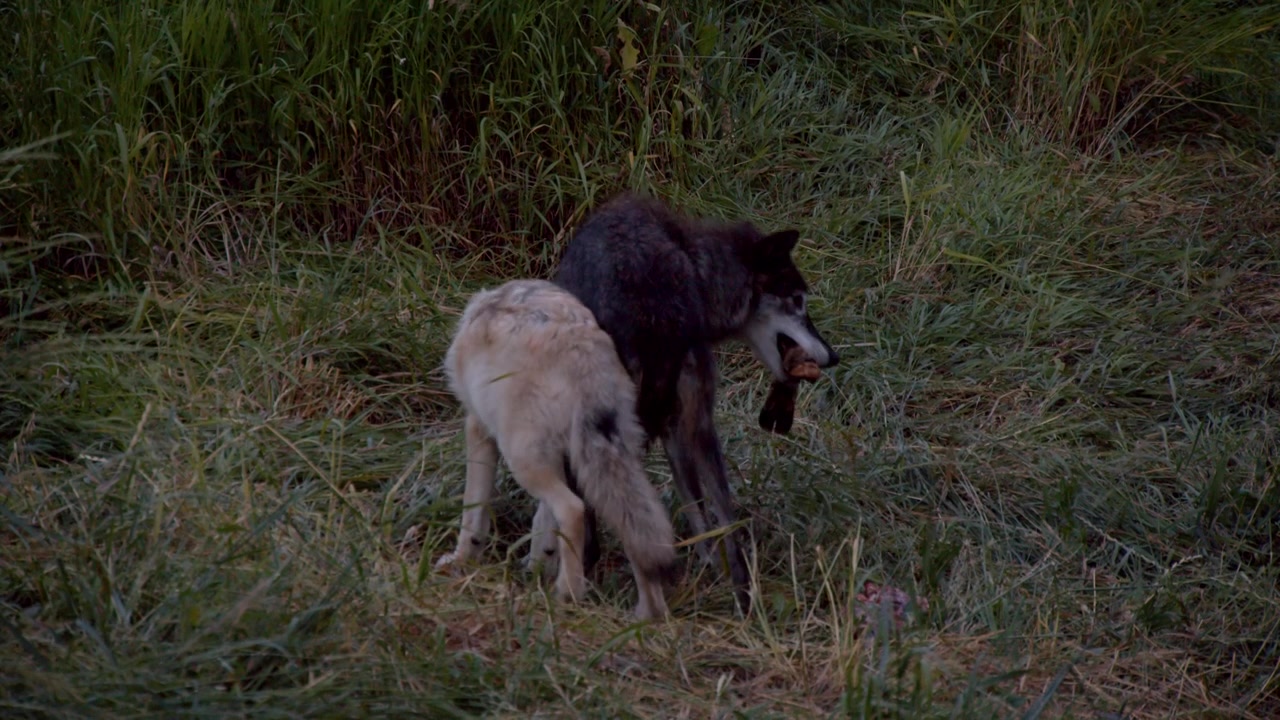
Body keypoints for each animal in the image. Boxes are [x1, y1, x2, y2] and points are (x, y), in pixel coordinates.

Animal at [436, 279, 676, 621]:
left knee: (572, 509)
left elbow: (474, 510)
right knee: (637, 534)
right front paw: (536, 563)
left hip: (522, 459)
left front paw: (461, 560)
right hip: (611, 463)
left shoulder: (478, 429)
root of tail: (581, 347)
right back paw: (648, 615)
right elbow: (542, 521)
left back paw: (568, 593)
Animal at [538, 192, 839, 615]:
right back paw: (740, 596)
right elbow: (698, 512)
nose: (834, 356)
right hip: (690, 427)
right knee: (722, 517)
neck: (697, 264)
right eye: (797, 301)